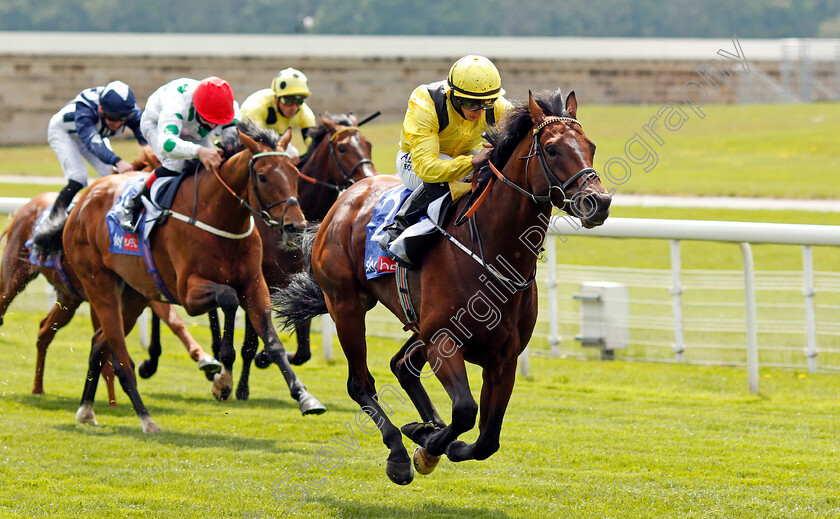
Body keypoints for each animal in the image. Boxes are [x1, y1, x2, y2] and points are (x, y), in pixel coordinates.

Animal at [37, 120, 324, 432]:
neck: (220, 217)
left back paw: (86, 409)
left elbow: (272, 342)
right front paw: (222, 378)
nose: (295, 227)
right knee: (120, 357)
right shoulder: (188, 292)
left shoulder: (254, 285)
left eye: (295, 172)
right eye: (262, 176)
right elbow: (228, 299)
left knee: (99, 343)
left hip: (134, 295)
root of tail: (81, 203)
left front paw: (305, 397)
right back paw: (146, 419)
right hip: (99, 285)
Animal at [276, 89, 612, 484]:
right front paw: (425, 449)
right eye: (552, 149)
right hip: (346, 305)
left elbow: (487, 440)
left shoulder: (504, 358)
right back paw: (398, 452)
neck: (494, 253)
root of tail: (344, 201)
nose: (599, 202)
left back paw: (426, 426)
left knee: (403, 365)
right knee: (360, 383)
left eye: (590, 146)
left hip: (417, 324)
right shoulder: (443, 342)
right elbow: (465, 411)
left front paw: (431, 437)